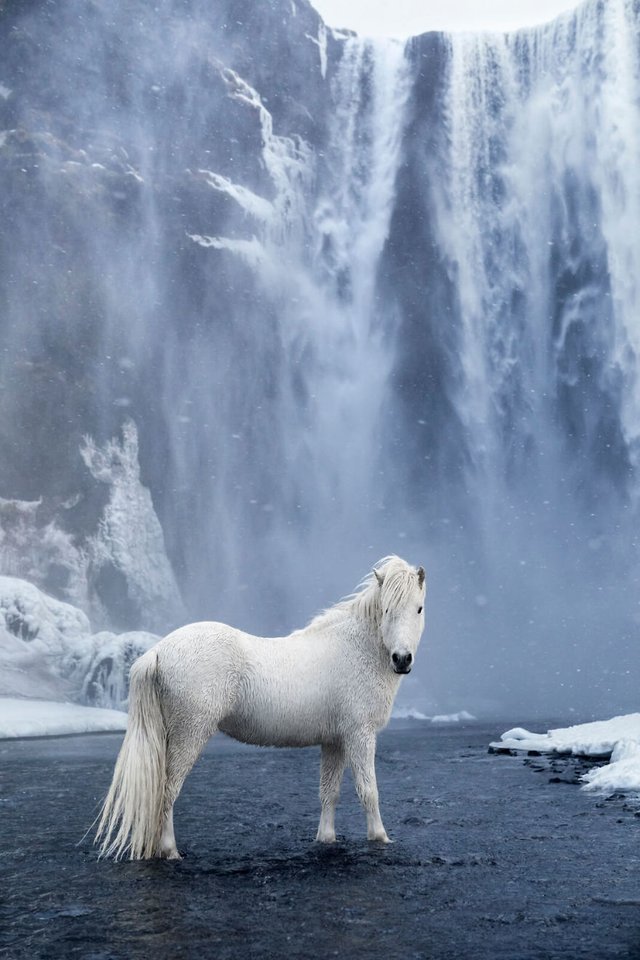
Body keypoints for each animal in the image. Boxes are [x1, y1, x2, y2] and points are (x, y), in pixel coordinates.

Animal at [95, 556, 424, 864]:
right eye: (386, 609)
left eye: (419, 608)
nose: (402, 659)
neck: (355, 650)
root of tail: (158, 651)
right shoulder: (360, 735)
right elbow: (368, 790)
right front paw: (380, 837)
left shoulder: (334, 741)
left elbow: (329, 792)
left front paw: (326, 838)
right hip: (189, 734)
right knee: (168, 791)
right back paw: (170, 851)